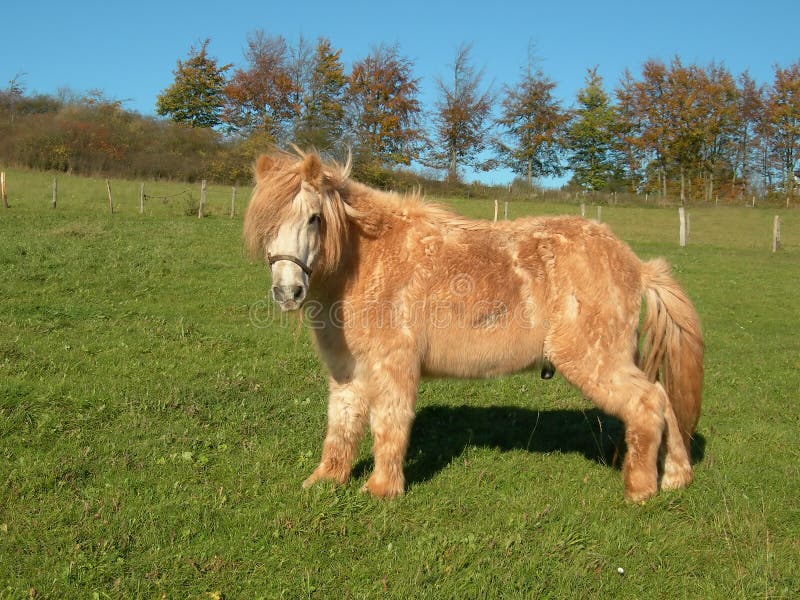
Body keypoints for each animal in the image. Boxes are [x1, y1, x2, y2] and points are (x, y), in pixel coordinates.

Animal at [243, 148, 704, 503]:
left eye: (314, 218)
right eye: (266, 225)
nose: (287, 291)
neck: (370, 260)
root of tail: (635, 264)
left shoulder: (393, 365)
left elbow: (388, 422)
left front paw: (381, 489)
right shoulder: (347, 369)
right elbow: (341, 422)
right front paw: (325, 480)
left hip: (592, 359)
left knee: (647, 403)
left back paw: (640, 489)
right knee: (663, 399)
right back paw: (676, 478)